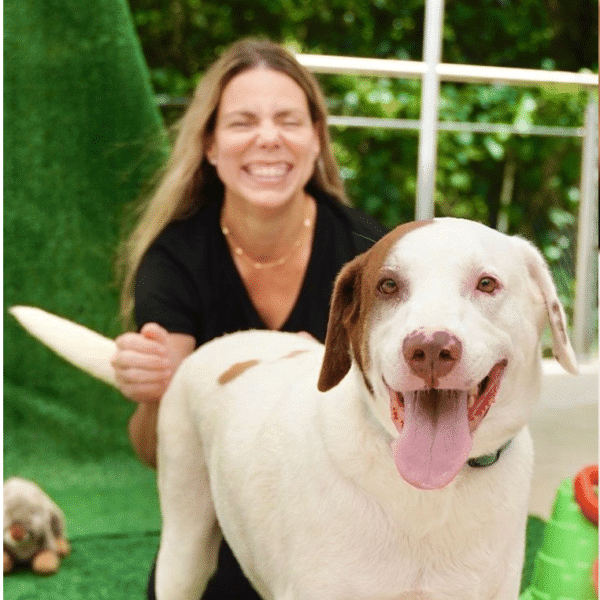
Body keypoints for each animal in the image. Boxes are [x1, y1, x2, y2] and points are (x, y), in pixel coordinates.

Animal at [9, 219, 580, 600]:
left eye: (487, 283)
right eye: (388, 285)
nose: (431, 348)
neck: (431, 497)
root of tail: (204, 352)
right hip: (185, 546)